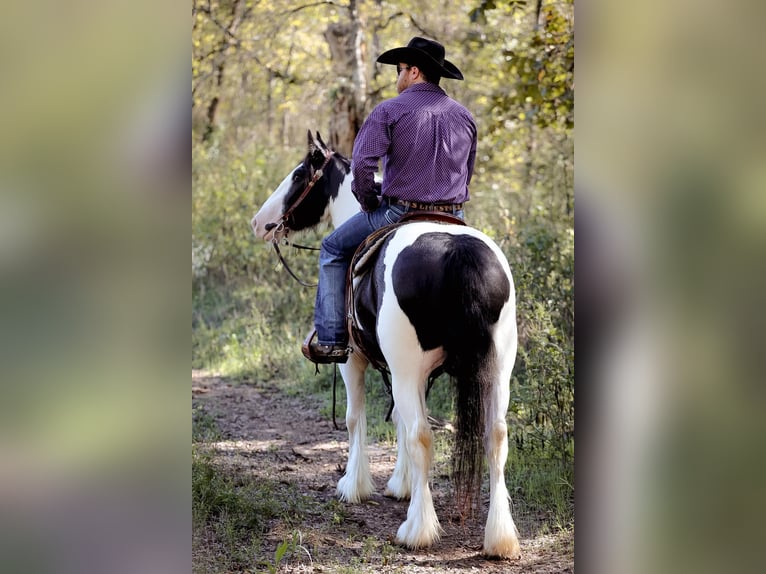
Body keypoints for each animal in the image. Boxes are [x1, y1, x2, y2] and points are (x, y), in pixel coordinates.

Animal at [252, 132, 520, 564]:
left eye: (298, 174)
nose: (260, 223)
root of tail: (458, 251)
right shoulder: (403, 372)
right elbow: (398, 420)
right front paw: (403, 484)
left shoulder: (356, 362)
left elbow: (355, 419)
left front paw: (354, 485)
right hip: (497, 368)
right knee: (494, 436)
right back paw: (500, 538)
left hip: (408, 366)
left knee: (422, 437)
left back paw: (417, 530)